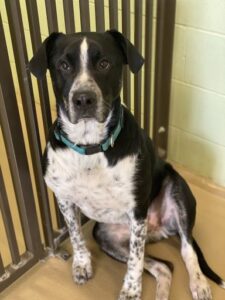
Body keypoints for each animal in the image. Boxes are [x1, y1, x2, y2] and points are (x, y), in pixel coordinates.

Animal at [29, 28, 224, 300]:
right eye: (64, 65)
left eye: (104, 63)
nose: (83, 99)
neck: (90, 147)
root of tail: (158, 228)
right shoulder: (64, 199)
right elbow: (76, 235)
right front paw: (82, 264)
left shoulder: (137, 212)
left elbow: (136, 260)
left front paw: (131, 289)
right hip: (105, 235)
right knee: (165, 266)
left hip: (178, 193)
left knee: (187, 250)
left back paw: (199, 283)